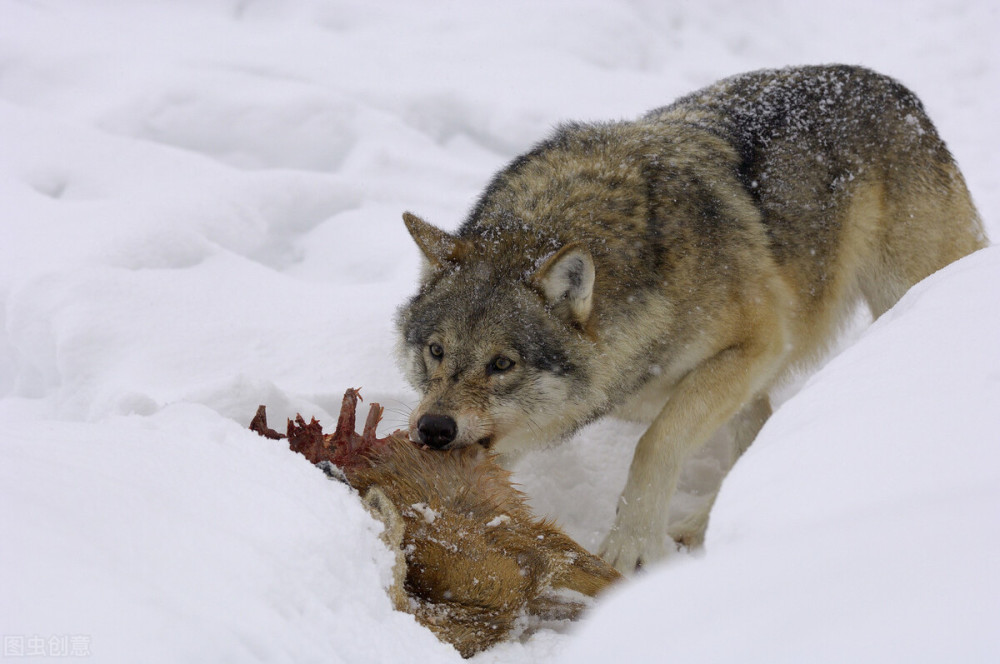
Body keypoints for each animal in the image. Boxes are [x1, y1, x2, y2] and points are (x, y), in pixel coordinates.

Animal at [390, 68, 984, 576]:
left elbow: (656, 443)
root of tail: (896, 89)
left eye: (502, 364)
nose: (434, 428)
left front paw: (629, 548)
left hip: (897, 292)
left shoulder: (758, 345)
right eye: (436, 351)